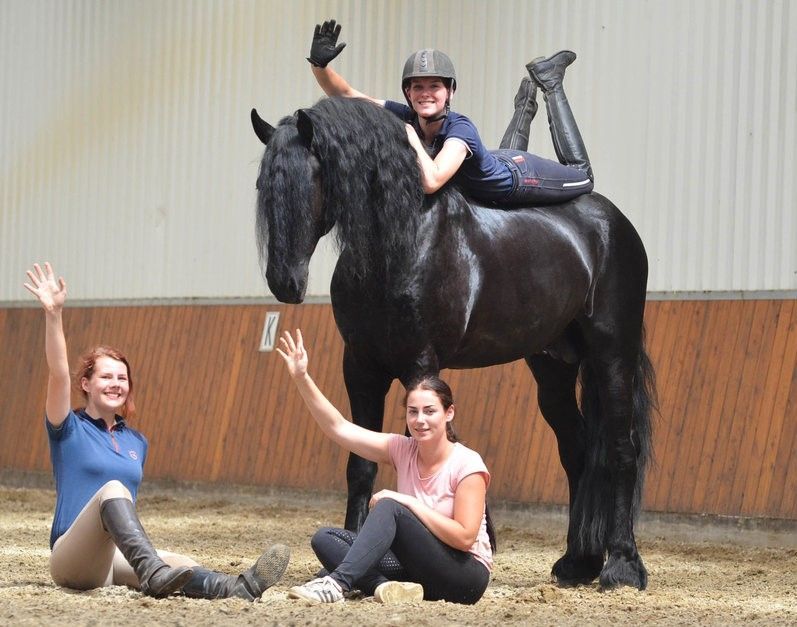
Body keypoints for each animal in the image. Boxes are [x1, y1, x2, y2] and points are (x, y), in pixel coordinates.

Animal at [250, 96, 656, 591]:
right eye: (263, 186)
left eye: (310, 181)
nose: (284, 281)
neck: (403, 243)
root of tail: (615, 225)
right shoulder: (361, 367)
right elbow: (361, 461)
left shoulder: (420, 362)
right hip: (553, 367)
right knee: (577, 450)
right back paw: (578, 562)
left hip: (612, 353)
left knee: (621, 449)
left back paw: (622, 566)